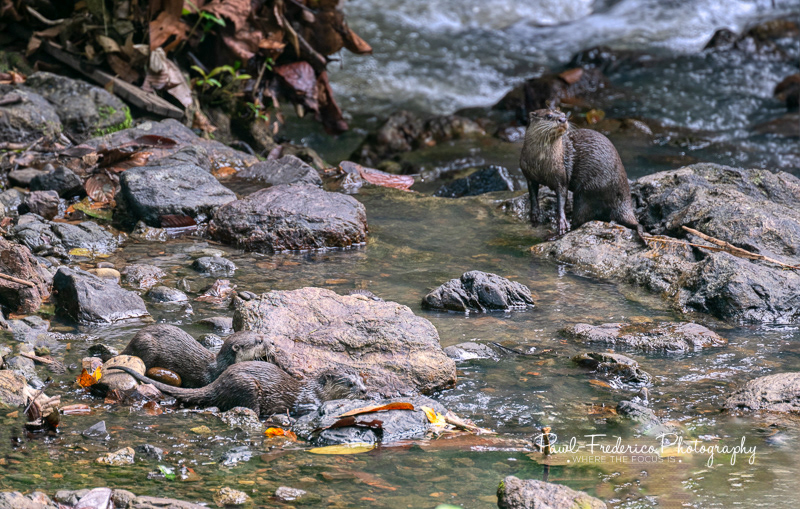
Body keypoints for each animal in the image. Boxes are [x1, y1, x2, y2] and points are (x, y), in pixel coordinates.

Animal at [120, 324, 272, 388]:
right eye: (259, 341)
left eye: (260, 334)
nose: (272, 342)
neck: (219, 367)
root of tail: (133, 340)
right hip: (148, 346)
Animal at [520, 108, 646, 241]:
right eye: (549, 116)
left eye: (564, 115)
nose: (563, 120)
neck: (540, 163)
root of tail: (624, 194)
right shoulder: (529, 175)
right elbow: (532, 195)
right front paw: (534, 215)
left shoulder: (561, 177)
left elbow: (561, 199)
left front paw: (561, 224)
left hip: (588, 191)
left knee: (580, 219)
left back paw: (554, 235)